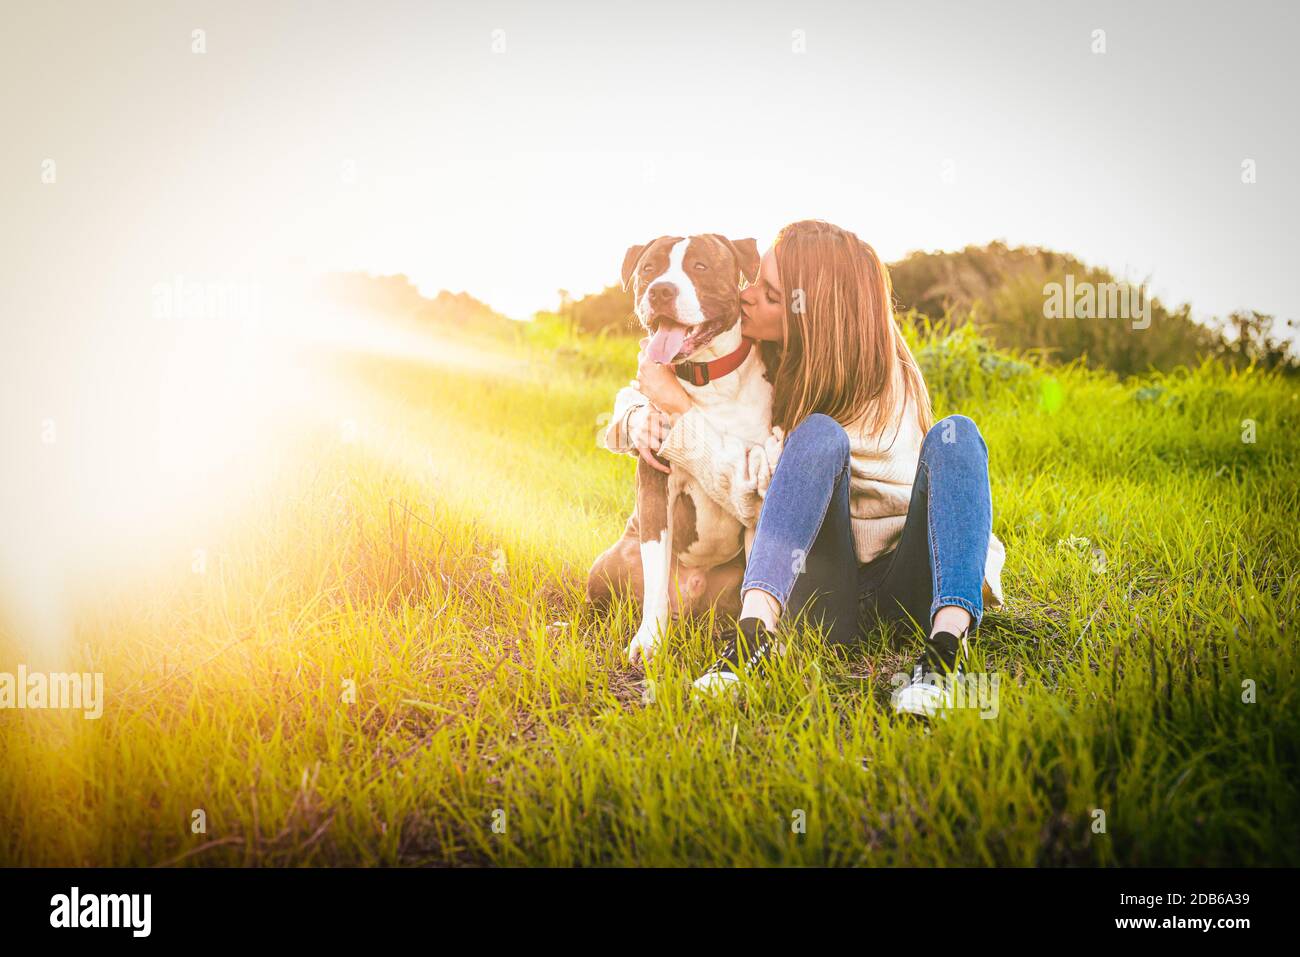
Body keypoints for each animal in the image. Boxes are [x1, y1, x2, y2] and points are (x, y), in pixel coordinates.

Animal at [587, 234, 774, 665]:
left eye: (700, 266)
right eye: (649, 269)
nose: (660, 290)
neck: (708, 380)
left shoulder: (757, 490)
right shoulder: (657, 484)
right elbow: (656, 574)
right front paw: (648, 642)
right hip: (606, 566)